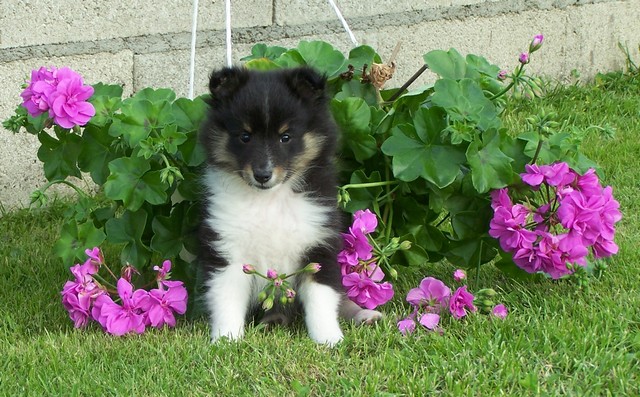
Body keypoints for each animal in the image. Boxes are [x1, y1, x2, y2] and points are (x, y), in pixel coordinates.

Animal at [198, 65, 382, 344]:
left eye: (285, 137)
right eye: (244, 136)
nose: (262, 175)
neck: (269, 199)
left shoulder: (318, 245)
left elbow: (322, 298)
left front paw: (329, 339)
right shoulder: (228, 250)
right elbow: (226, 298)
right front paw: (226, 340)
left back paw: (365, 316)